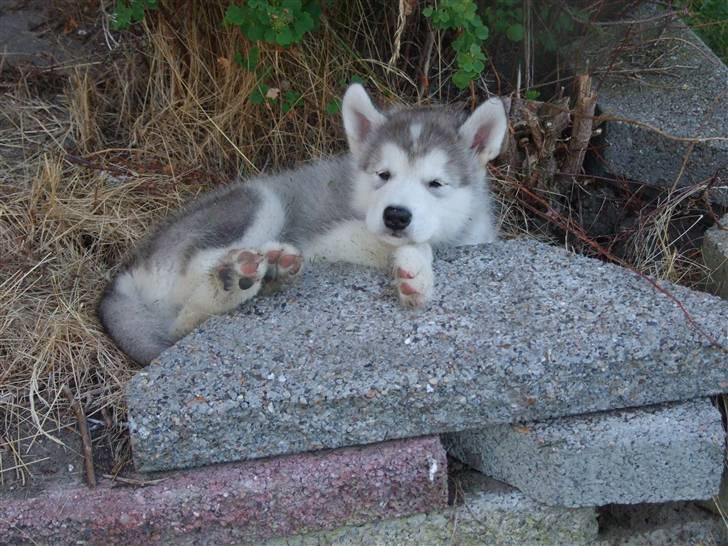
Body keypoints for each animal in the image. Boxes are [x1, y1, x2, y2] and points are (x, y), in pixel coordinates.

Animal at [98, 84, 508, 364]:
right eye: (383, 174)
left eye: (436, 183)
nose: (395, 215)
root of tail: (121, 279)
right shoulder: (332, 240)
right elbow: (412, 244)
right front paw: (416, 271)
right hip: (258, 201)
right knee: (186, 308)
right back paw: (238, 274)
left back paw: (269, 269)